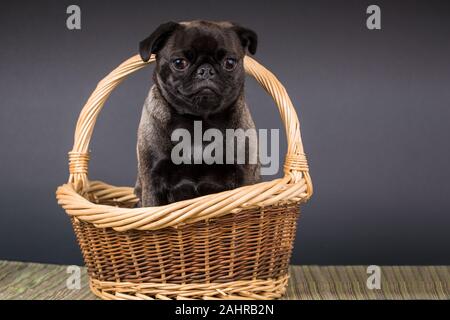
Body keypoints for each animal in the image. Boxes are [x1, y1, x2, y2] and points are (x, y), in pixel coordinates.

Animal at [134, 20, 260, 206]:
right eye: (179, 63)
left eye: (230, 63)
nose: (206, 70)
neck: (199, 121)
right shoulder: (152, 181)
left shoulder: (243, 177)